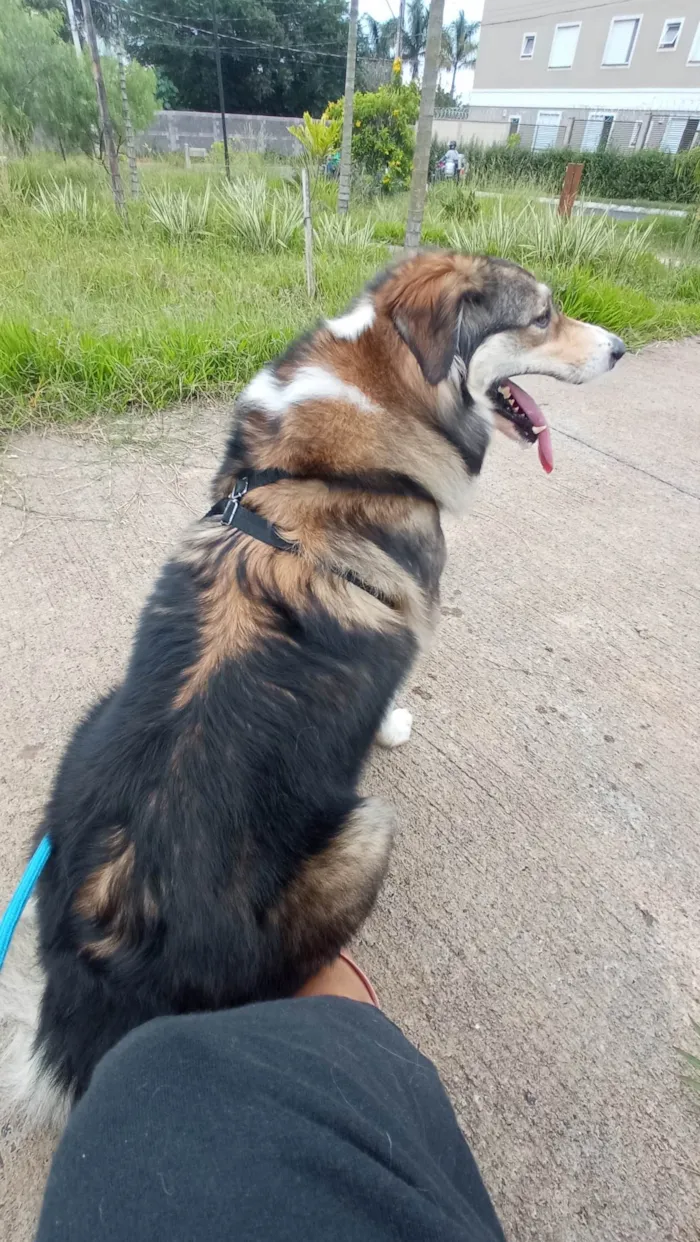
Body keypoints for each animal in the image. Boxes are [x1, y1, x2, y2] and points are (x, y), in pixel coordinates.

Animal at [0, 249, 623, 1127]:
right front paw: (392, 725)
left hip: (87, 735)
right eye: (543, 317)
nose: (622, 348)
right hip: (366, 834)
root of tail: (98, 964)